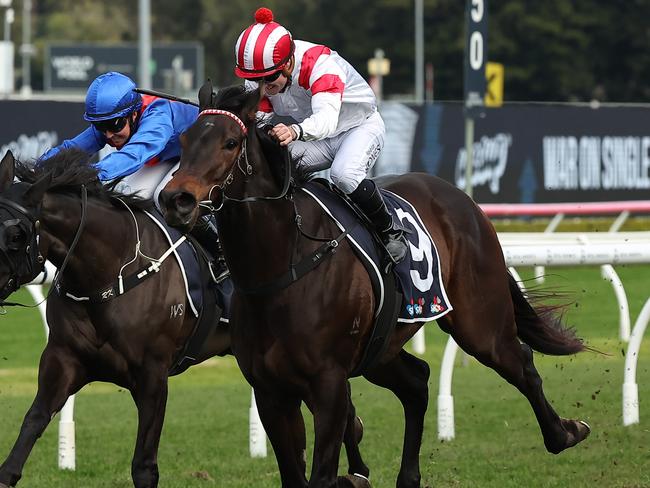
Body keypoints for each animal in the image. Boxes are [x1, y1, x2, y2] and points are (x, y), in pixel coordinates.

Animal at [159, 84, 588, 488]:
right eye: (184, 141)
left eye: (230, 142)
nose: (176, 199)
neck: (282, 268)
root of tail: (463, 199)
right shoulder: (271, 392)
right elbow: (294, 475)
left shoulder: (329, 385)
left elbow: (322, 473)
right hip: (380, 349)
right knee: (417, 381)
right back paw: (409, 476)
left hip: (478, 322)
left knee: (521, 362)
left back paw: (565, 432)